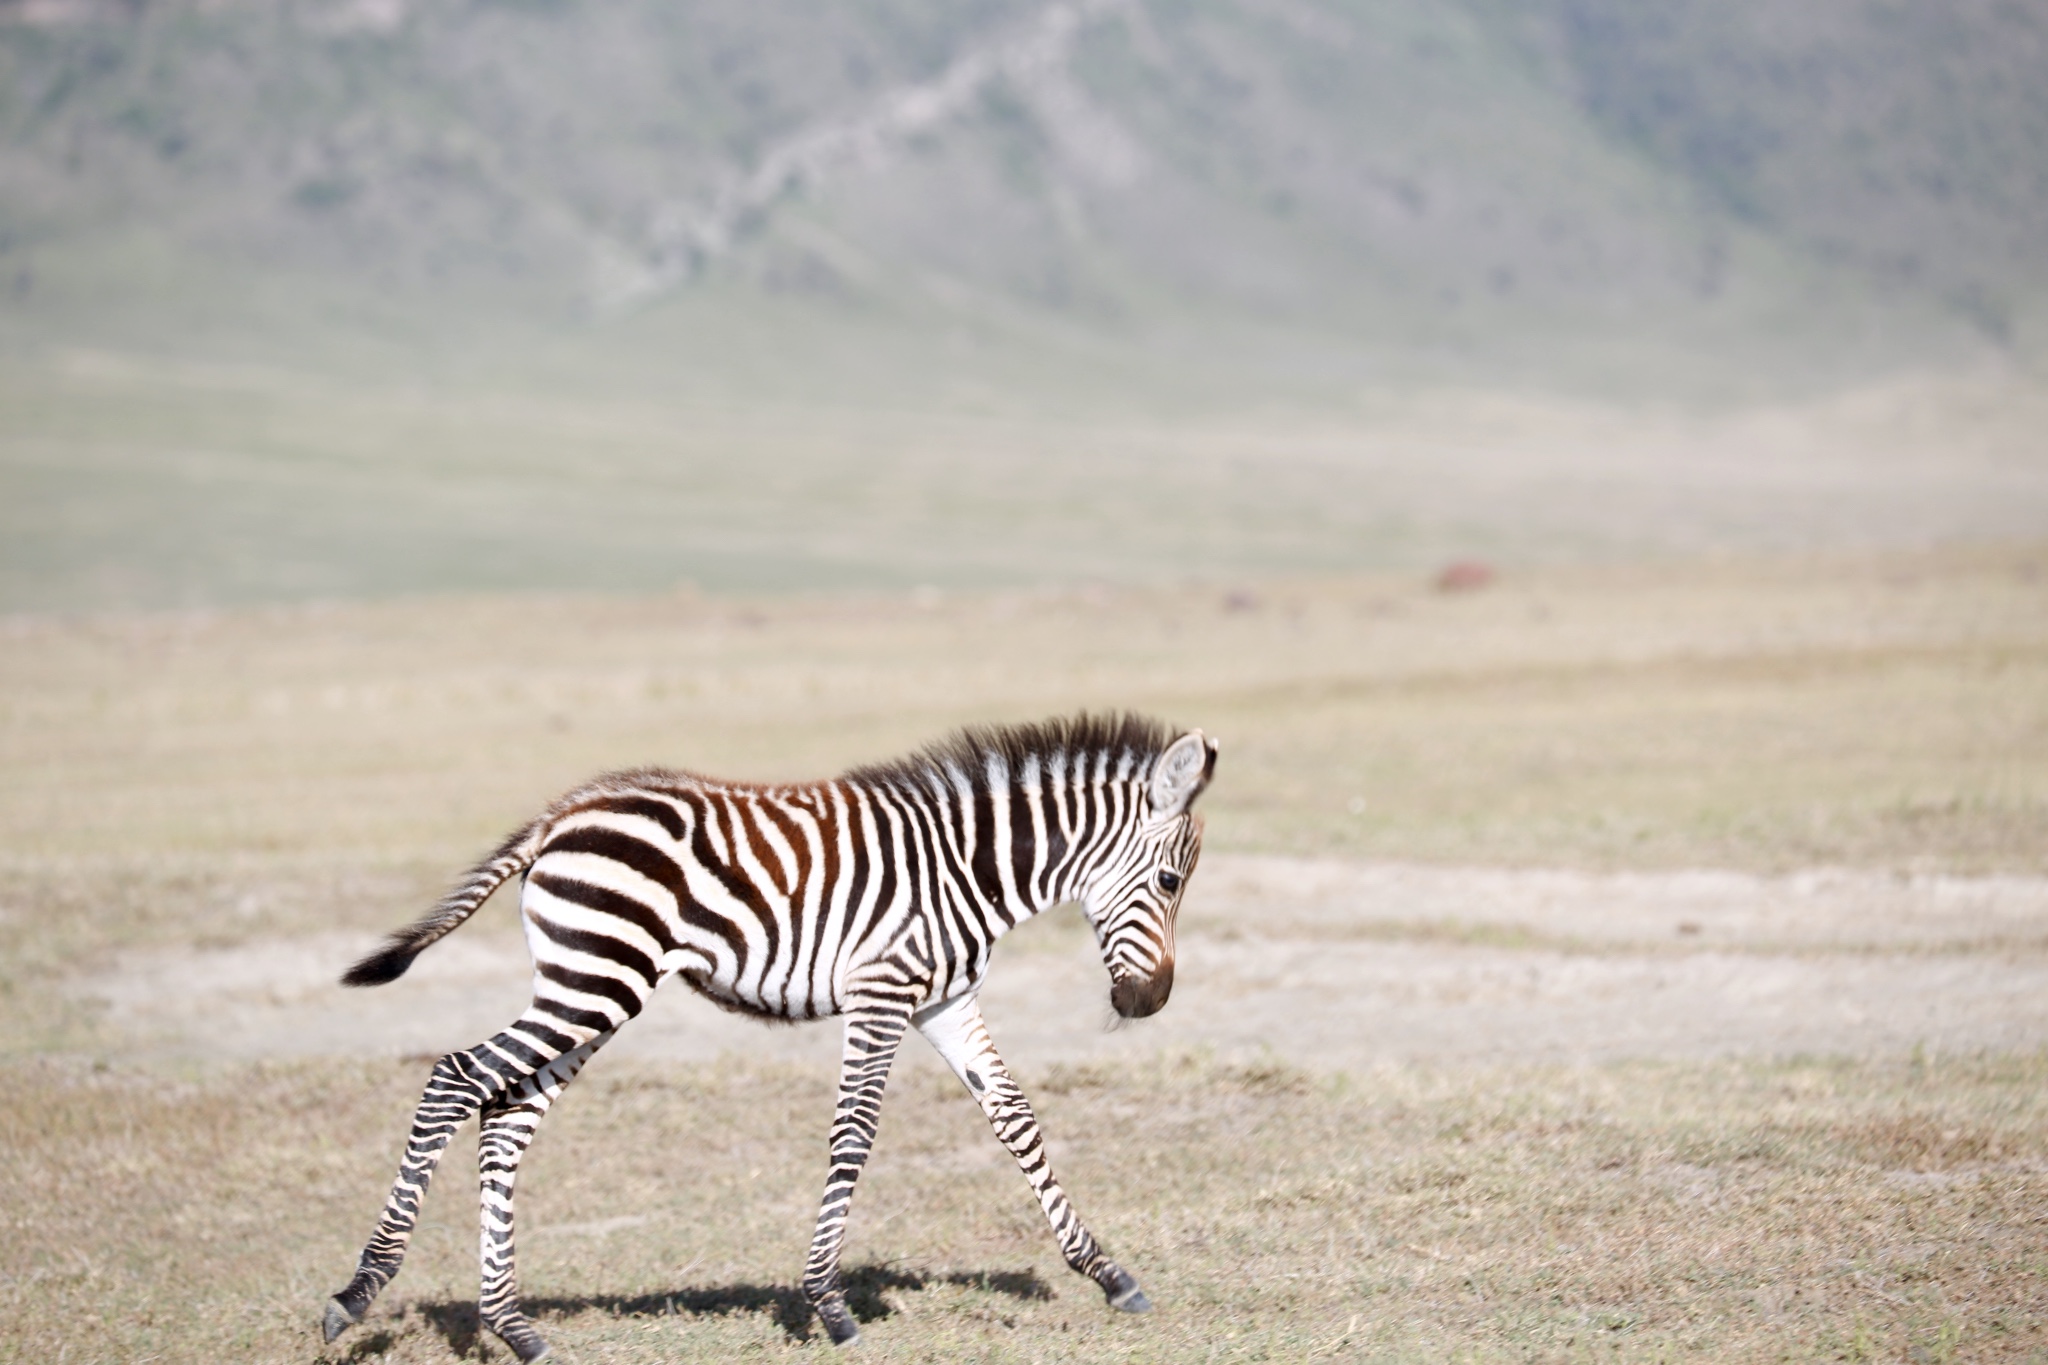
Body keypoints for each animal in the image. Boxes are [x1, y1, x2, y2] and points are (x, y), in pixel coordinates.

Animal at [321, 716, 1212, 1358]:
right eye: (1171, 881)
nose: (1150, 1001)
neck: (970, 869)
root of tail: (563, 813)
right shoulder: (881, 991)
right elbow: (855, 1131)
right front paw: (829, 1303)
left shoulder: (945, 999)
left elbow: (1015, 1117)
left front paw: (1107, 1272)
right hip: (598, 978)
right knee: (456, 1076)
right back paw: (358, 1292)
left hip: (591, 986)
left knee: (505, 1112)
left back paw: (514, 1326)